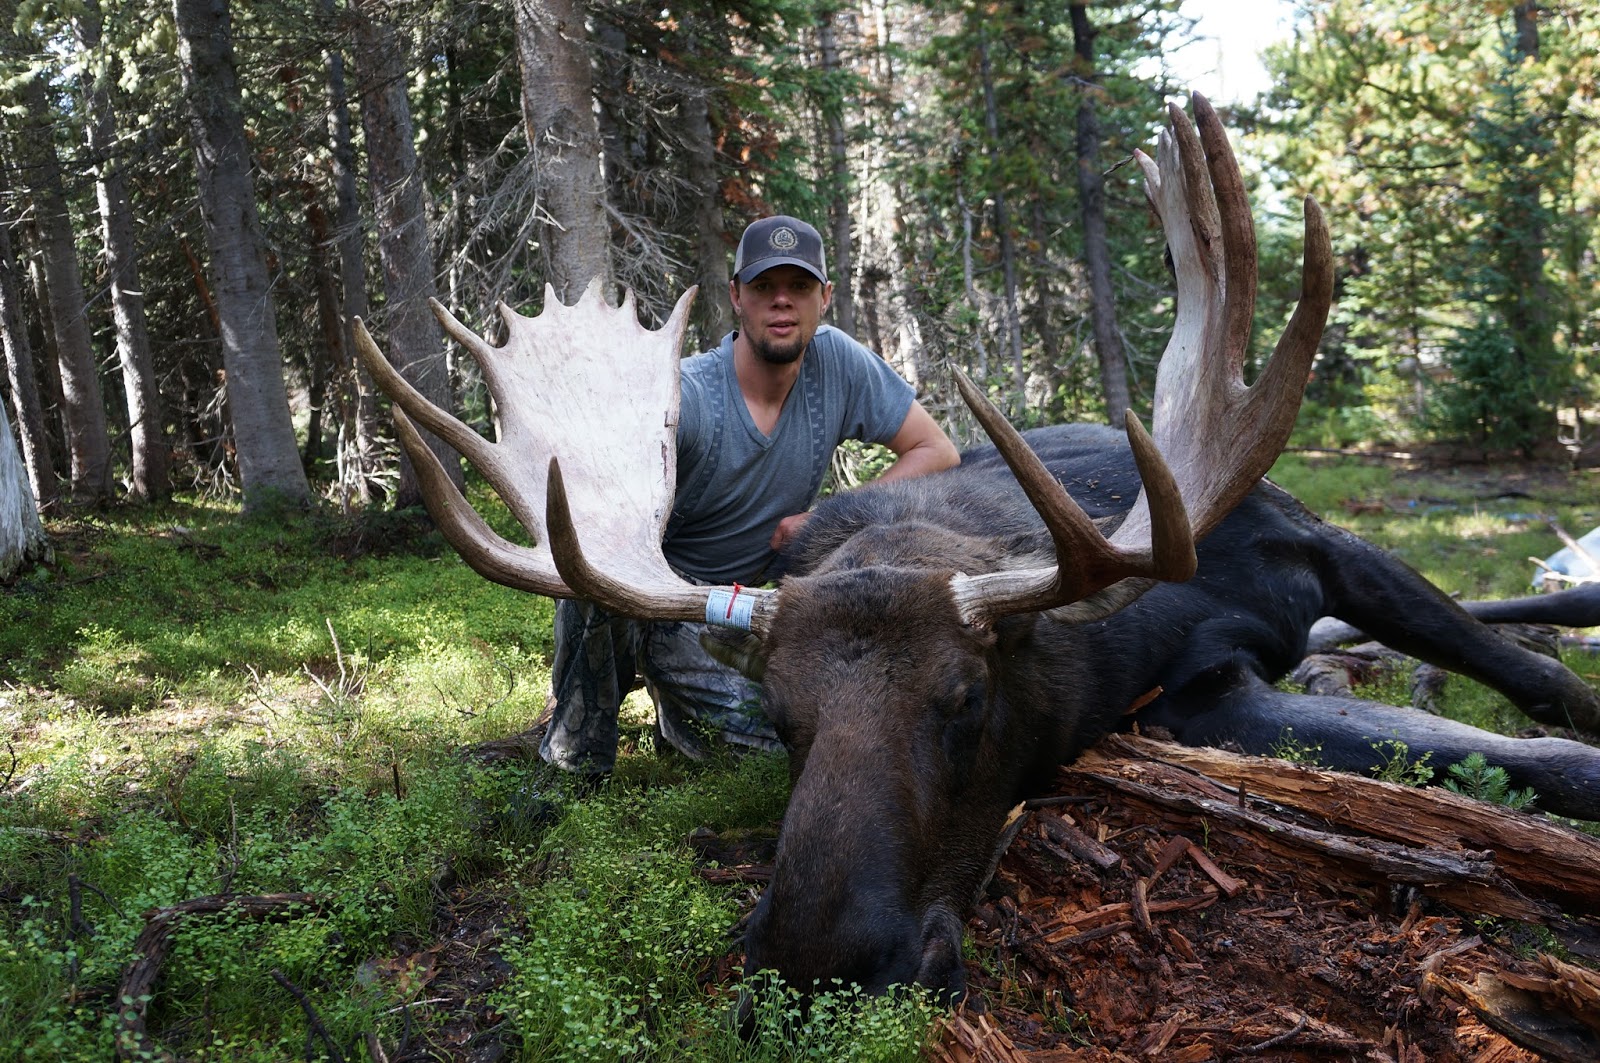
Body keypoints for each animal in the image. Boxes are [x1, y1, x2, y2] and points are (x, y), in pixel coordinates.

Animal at [352, 96, 1600, 1005]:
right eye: (784, 720)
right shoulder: (1188, 701)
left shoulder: (1325, 543)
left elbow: (1540, 708)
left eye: (963, 698)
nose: (820, 961)